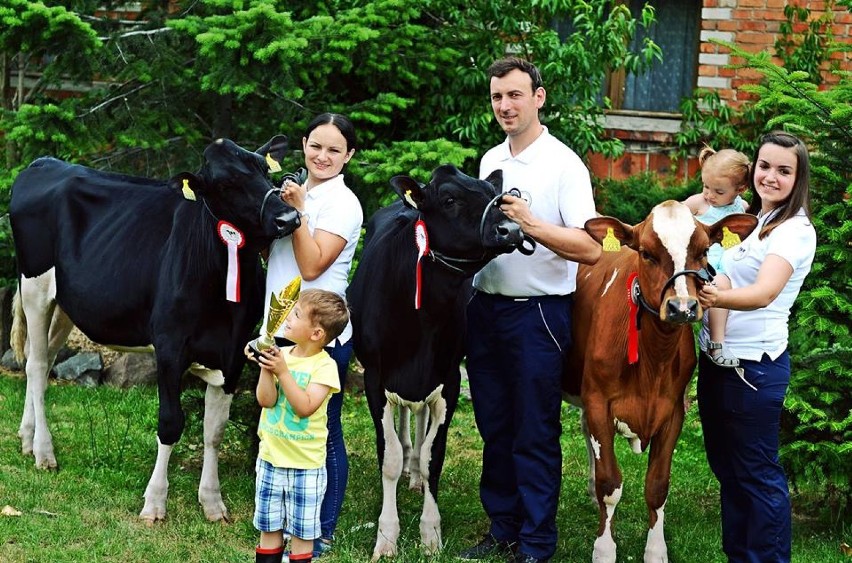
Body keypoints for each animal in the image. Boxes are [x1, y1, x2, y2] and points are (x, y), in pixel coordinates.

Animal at [6, 138, 298, 524]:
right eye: (224, 184)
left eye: (263, 169)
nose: (288, 217)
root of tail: (45, 162)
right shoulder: (170, 346)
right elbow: (171, 423)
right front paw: (155, 502)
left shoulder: (234, 352)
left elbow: (214, 430)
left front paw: (212, 502)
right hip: (35, 287)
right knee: (38, 367)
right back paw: (44, 452)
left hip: (65, 302)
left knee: (40, 361)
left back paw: (27, 438)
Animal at [346, 165, 524, 560]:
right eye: (449, 199)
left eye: (490, 191)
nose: (511, 229)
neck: (423, 317)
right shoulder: (374, 379)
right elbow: (389, 457)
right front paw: (387, 537)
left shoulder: (449, 379)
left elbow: (433, 455)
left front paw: (430, 534)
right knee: (403, 424)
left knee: (418, 419)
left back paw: (414, 475)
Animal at [564, 202, 756, 563]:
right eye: (647, 253)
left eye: (703, 251)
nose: (682, 307)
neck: (654, 359)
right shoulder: (598, 402)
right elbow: (611, 484)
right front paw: (604, 550)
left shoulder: (673, 412)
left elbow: (657, 486)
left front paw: (656, 552)